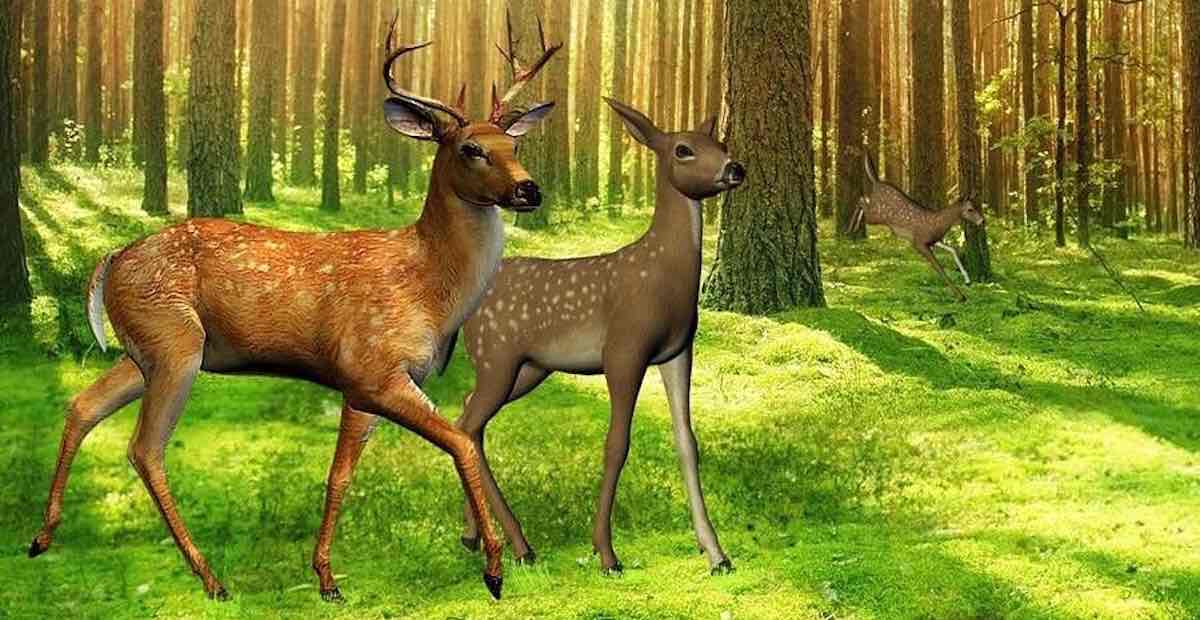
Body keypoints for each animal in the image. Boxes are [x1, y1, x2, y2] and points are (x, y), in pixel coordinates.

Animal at [27, 14, 561, 603]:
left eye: (514, 145)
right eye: (470, 148)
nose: (530, 190)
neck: (429, 288)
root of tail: (111, 258)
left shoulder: (360, 389)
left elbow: (339, 475)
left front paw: (326, 577)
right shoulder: (373, 369)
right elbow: (462, 441)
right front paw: (494, 568)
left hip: (143, 348)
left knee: (83, 405)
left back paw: (42, 538)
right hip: (174, 343)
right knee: (145, 447)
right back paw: (212, 579)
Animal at [453, 98, 745, 576]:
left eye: (721, 143)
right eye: (683, 149)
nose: (735, 168)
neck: (662, 280)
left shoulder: (678, 351)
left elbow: (687, 442)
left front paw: (717, 554)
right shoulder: (624, 349)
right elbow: (616, 444)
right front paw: (607, 554)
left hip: (528, 367)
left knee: (464, 417)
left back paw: (473, 536)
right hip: (498, 355)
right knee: (469, 424)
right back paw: (521, 545)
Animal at [851, 154, 984, 302]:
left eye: (976, 206)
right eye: (970, 209)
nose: (982, 221)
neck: (938, 224)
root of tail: (876, 183)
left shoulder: (934, 241)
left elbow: (953, 250)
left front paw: (967, 280)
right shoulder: (919, 242)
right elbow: (939, 268)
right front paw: (960, 295)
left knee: (863, 200)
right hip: (877, 216)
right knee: (861, 201)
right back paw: (852, 228)